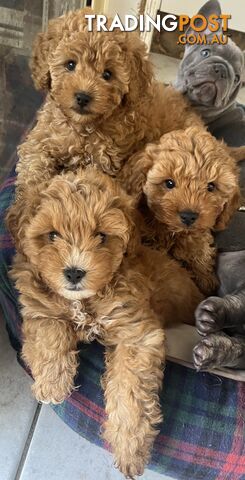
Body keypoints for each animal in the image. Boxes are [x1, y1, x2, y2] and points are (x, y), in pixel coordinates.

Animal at [6, 168, 203, 476]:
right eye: (52, 235)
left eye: (101, 235)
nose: (74, 273)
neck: (83, 300)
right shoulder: (39, 306)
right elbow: (50, 332)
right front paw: (52, 384)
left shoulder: (137, 332)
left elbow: (130, 390)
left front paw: (129, 448)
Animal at [14, 7, 203, 195]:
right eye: (70, 64)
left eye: (107, 74)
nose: (83, 97)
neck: (82, 127)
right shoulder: (40, 139)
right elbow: (33, 165)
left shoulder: (105, 162)